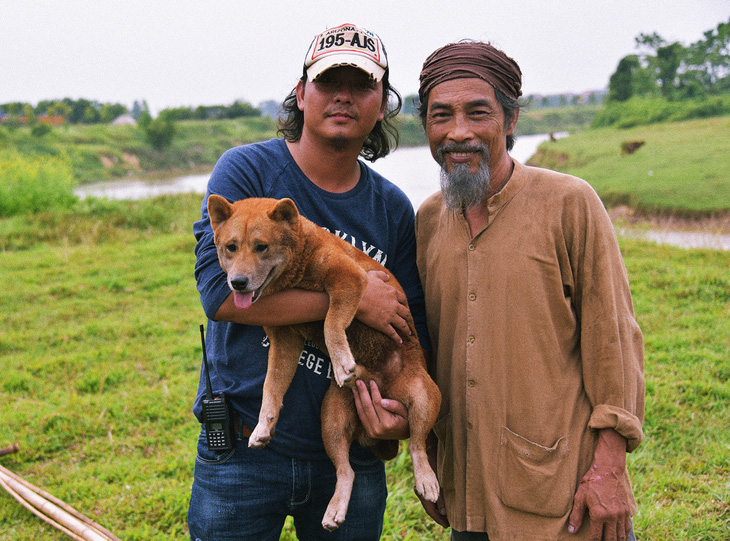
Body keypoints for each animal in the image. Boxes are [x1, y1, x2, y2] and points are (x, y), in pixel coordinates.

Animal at [208, 195, 440, 532]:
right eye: (231, 247)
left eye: (261, 247)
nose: (237, 283)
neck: (299, 266)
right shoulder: (285, 340)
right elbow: (271, 387)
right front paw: (264, 425)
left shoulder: (349, 278)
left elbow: (331, 323)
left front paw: (342, 362)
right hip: (331, 420)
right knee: (346, 471)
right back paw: (335, 508)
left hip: (424, 397)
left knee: (417, 446)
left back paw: (426, 480)